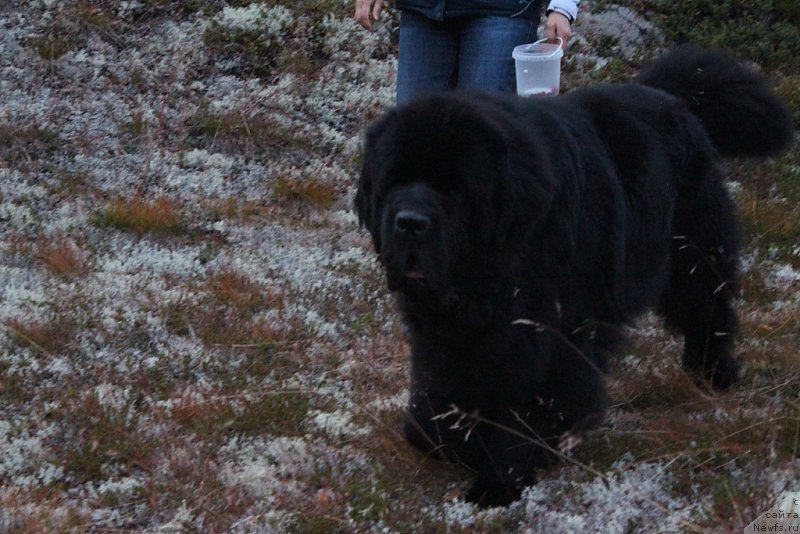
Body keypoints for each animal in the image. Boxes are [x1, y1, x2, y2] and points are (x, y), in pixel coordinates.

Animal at [354, 45, 792, 506]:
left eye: (455, 188)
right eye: (394, 181)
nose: (410, 222)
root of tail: (664, 94)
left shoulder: (548, 332)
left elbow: (529, 402)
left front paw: (501, 480)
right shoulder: (443, 331)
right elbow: (437, 392)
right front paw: (453, 441)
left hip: (691, 250)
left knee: (709, 306)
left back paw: (713, 372)